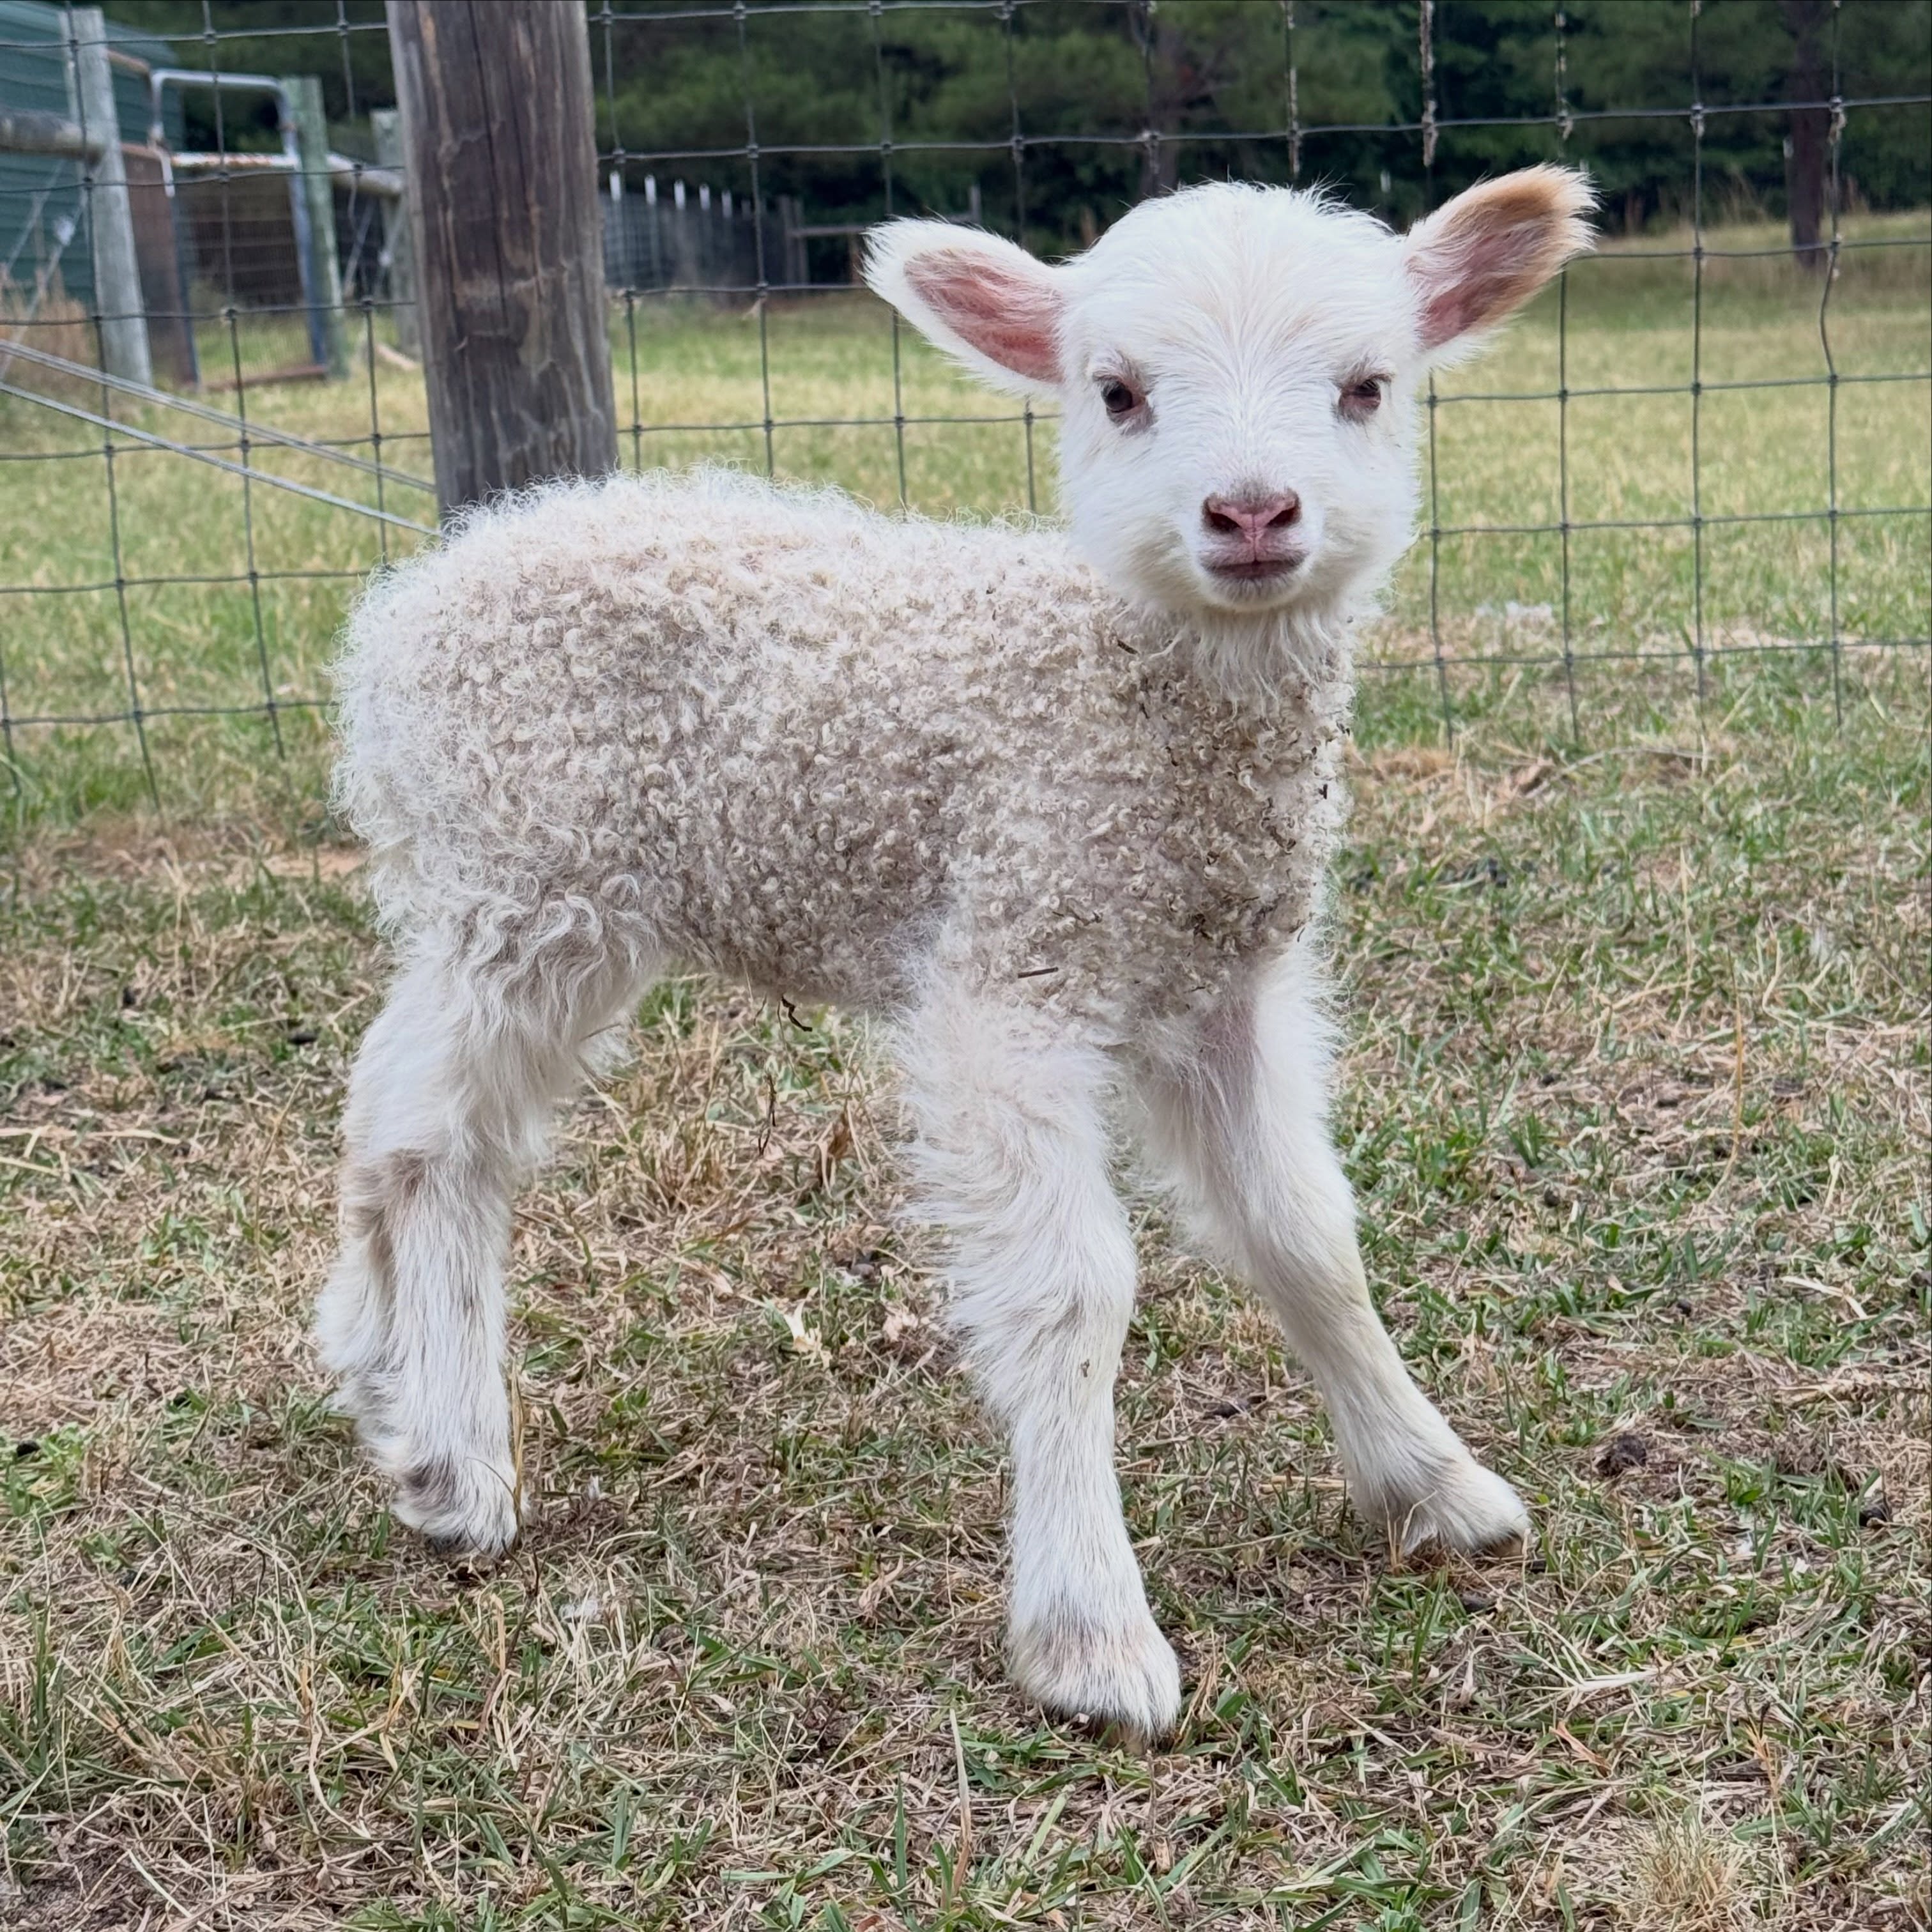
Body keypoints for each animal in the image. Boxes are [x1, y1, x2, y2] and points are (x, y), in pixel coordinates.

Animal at [321, 166, 1594, 1739]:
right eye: (1115, 391)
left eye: (1368, 387)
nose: (1249, 511)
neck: (1128, 695)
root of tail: (413, 606)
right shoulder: (1017, 955)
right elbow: (1073, 1287)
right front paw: (1090, 1631)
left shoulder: (1217, 981)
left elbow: (1306, 1233)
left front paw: (1432, 1483)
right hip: (529, 877)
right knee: (436, 1146)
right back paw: (453, 1460)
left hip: (495, 899)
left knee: (393, 1111)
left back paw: (375, 1370)